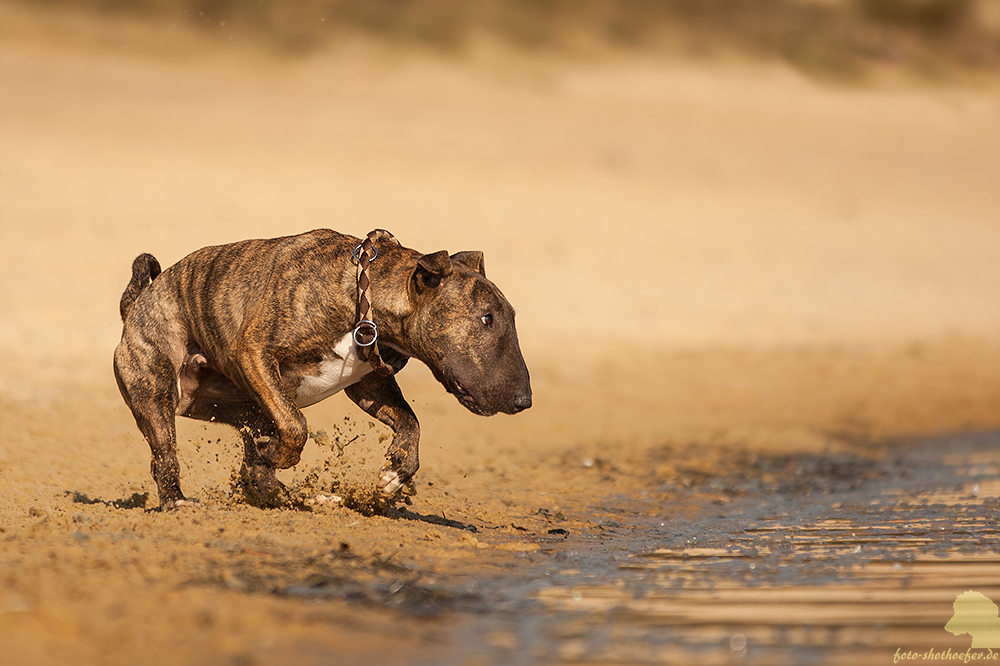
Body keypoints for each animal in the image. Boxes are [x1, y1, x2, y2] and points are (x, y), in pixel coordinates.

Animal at [112, 228, 532, 508]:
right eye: (486, 318)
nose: (524, 400)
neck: (364, 296)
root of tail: (136, 303)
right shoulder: (254, 350)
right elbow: (296, 426)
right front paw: (278, 457)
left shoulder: (369, 385)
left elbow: (410, 422)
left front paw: (396, 473)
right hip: (156, 391)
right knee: (165, 455)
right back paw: (177, 501)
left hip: (245, 408)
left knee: (255, 458)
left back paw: (292, 495)